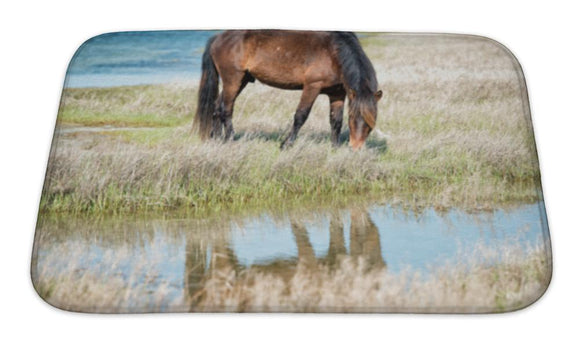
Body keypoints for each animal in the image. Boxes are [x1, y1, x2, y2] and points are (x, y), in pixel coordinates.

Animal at [196, 30, 386, 150]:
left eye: (370, 122)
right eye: (353, 118)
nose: (355, 148)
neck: (334, 52)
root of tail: (218, 37)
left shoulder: (337, 94)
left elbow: (336, 121)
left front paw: (335, 147)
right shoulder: (312, 87)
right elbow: (301, 116)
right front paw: (286, 144)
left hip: (241, 80)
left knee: (217, 107)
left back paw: (216, 138)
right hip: (233, 79)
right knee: (226, 109)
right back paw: (230, 139)